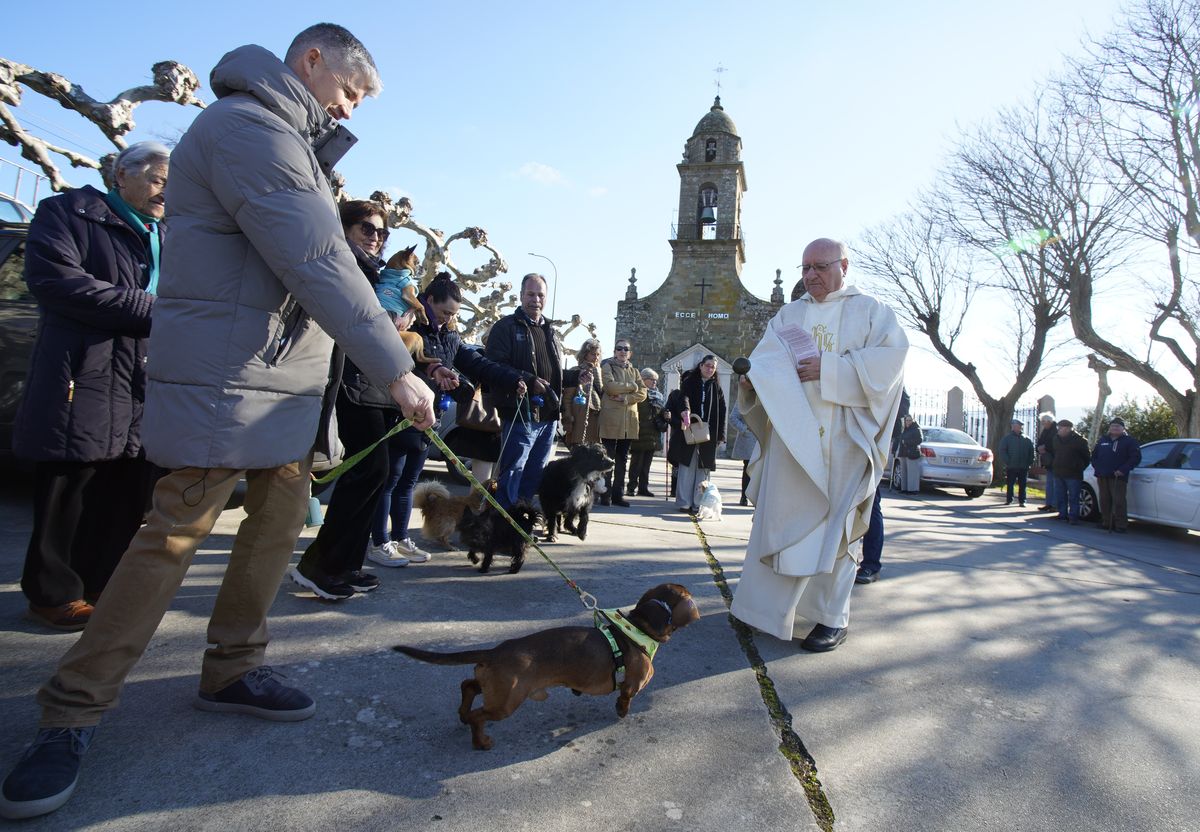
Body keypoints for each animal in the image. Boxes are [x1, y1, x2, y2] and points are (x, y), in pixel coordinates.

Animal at [393, 581, 700, 749]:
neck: (638, 627)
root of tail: (496, 651)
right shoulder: (631, 685)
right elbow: (625, 699)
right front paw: (621, 712)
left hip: (494, 686)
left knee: (468, 685)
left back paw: (462, 714)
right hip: (507, 701)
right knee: (479, 716)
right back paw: (481, 741)